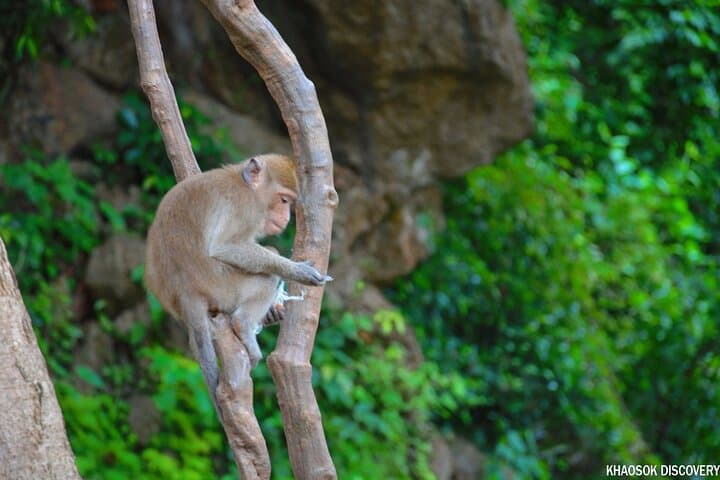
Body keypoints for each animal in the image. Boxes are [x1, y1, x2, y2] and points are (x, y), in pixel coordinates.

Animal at [144, 153, 332, 411]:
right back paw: (244, 324)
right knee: (266, 275)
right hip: (224, 287)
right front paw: (296, 270)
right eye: (283, 200)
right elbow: (225, 247)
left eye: (288, 203)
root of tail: (185, 291)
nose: (286, 217)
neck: (244, 184)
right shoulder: (244, 207)